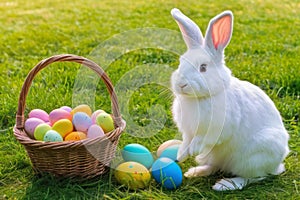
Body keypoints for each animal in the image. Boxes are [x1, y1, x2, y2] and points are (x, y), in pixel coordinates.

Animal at [171, 8, 290, 191]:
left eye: (203, 67)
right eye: (180, 63)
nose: (181, 84)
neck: (200, 98)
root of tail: (278, 166)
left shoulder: (216, 129)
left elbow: (202, 139)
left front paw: (192, 150)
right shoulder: (188, 131)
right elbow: (186, 140)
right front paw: (182, 154)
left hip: (252, 159)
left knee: (254, 177)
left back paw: (225, 185)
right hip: (215, 157)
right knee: (215, 166)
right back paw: (196, 171)